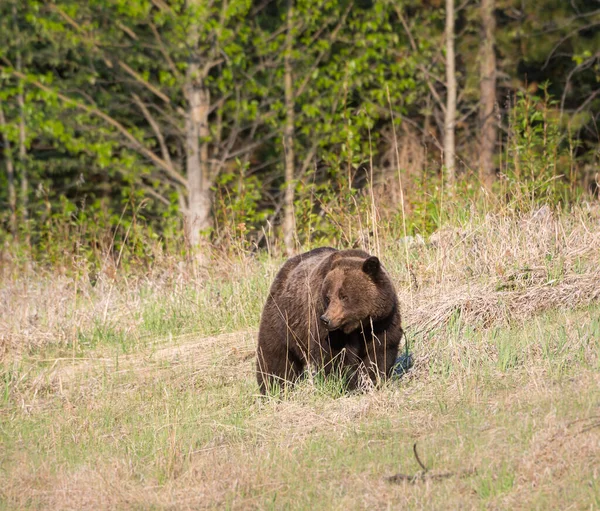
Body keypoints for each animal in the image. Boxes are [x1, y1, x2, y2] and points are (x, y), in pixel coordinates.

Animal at [254, 248, 404, 396]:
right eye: (328, 297)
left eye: (344, 296)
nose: (326, 319)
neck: (360, 324)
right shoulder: (324, 322)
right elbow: (333, 354)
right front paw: (346, 385)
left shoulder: (382, 322)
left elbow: (380, 351)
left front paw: (371, 381)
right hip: (283, 318)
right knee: (275, 356)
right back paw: (272, 388)